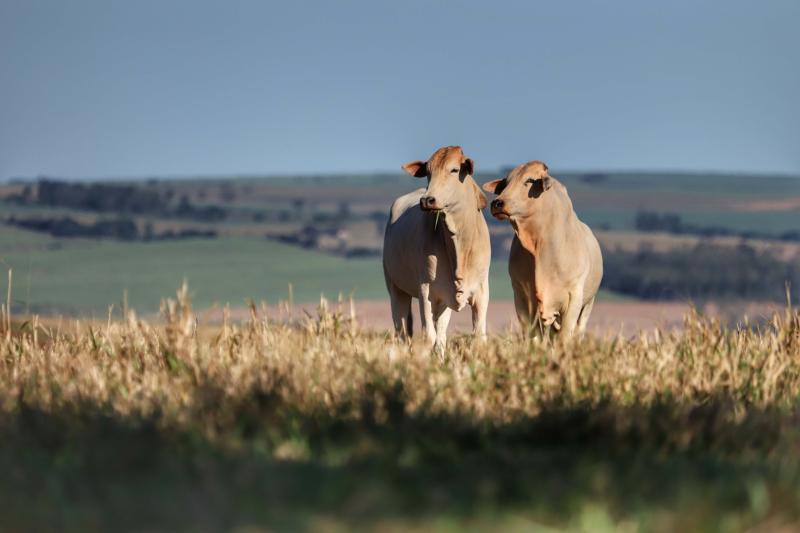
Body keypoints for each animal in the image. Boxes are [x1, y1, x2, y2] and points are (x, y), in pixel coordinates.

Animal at [382, 147, 490, 354]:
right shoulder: (426, 291)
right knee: (402, 332)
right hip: (396, 289)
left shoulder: (481, 292)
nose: (428, 200)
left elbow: (479, 337)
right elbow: (428, 337)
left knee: (440, 335)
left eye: (455, 170)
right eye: (428, 172)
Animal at [482, 160, 600, 338]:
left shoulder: (574, 298)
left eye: (530, 180)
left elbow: (565, 336)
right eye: (506, 183)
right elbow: (533, 335)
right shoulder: (522, 297)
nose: (497, 203)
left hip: (587, 305)